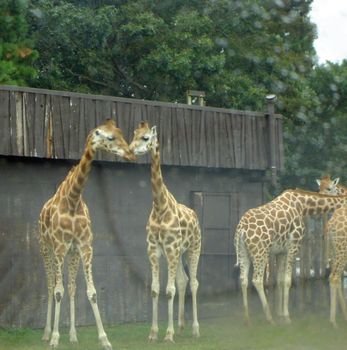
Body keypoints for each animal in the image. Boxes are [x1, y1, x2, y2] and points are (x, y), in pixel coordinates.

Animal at [38, 119, 135, 348]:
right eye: (110, 137)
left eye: (121, 133)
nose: (130, 153)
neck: (73, 200)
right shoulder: (59, 247)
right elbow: (58, 291)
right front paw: (55, 338)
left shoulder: (84, 246)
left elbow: (91, 293)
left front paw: (104, 339)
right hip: (46, 249)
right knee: (50, 286)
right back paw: (47, 333)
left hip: (72, 254)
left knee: (72, 287)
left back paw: (73, 335)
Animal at [130, 122, 201, 342]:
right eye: (133, 135)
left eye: (146, 138)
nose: (131, 149)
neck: (160, 207)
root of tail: (195, 216)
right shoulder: (154, 249)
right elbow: (155, 290)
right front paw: (154, 333)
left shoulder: (170, 248)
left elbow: (169, 291)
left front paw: (168, 335)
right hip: (179, 254)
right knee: (183, 280)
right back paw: (180, 326)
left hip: (193, 249)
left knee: (193, 282)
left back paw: (195, 329)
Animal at [235, 189, 347, 326]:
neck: (303, 205)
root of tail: (241, 230)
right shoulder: (293, 246)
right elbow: (288, 280)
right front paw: (287, 317)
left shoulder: (281, 251)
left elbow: (280, 280)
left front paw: (280, 314)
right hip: (260, 252)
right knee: (257, 279)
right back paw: (269, 319)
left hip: (243, 252)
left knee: (243, 279)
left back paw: (247, 319)